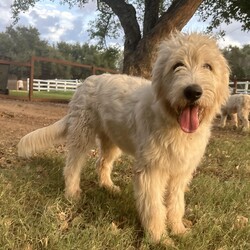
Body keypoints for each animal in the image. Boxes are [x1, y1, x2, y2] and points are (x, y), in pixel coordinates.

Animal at [17, 32, 229, 243]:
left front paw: (179, 230)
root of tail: (86, 81)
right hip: (82, 134)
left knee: (102, 163)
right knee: (72, 166)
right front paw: (159, 239)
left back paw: (108, 187)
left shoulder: (180, 173)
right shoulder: (151, 171)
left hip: (112, 141)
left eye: (208, 66)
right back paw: (72, 194)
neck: (173, 123)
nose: (193, 91)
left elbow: (176, 204)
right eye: (177, 65)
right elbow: (154, 207)